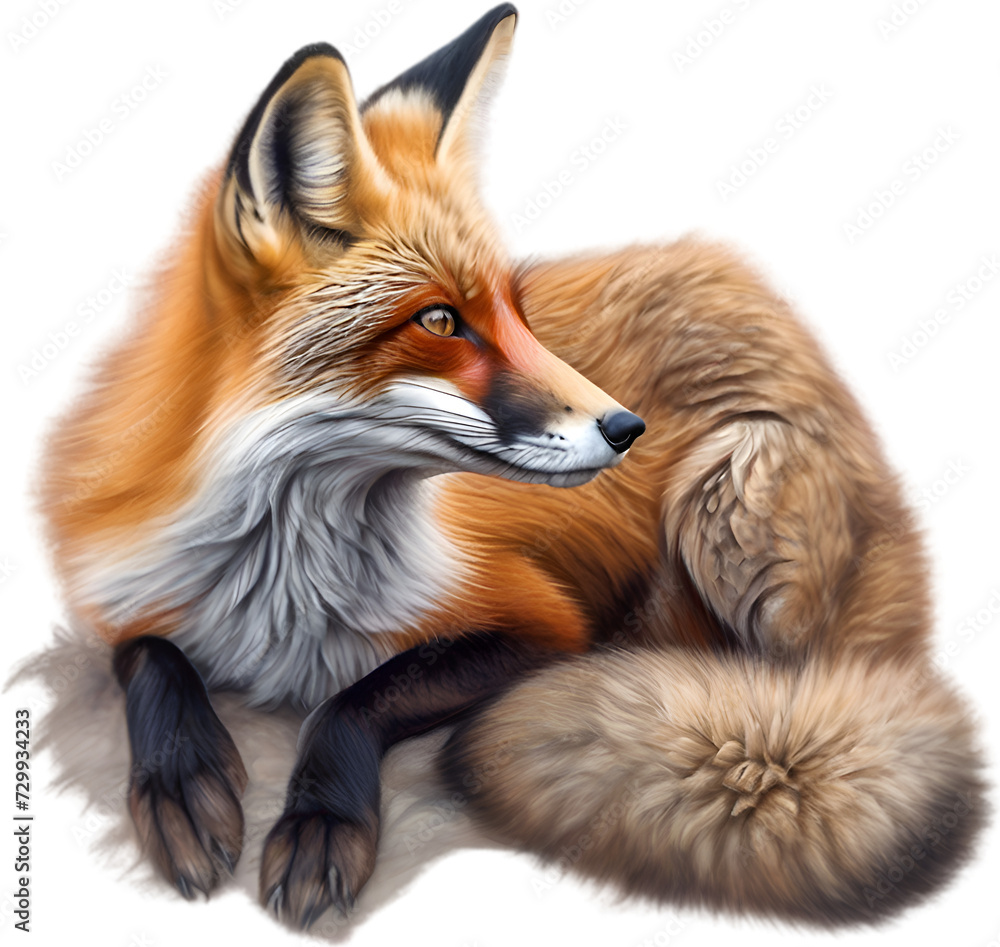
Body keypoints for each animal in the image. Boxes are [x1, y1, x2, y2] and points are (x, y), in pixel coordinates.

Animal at [36, 3, 985, 932]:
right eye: (441, 321)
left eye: (518, 313)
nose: (627, 426)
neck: (281, 584)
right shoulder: (115, 592)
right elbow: (152, 652)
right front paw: (181, 778)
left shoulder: (542, 624)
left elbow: (359, 695)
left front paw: (321, 819)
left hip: (731, 502)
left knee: (781, 683)